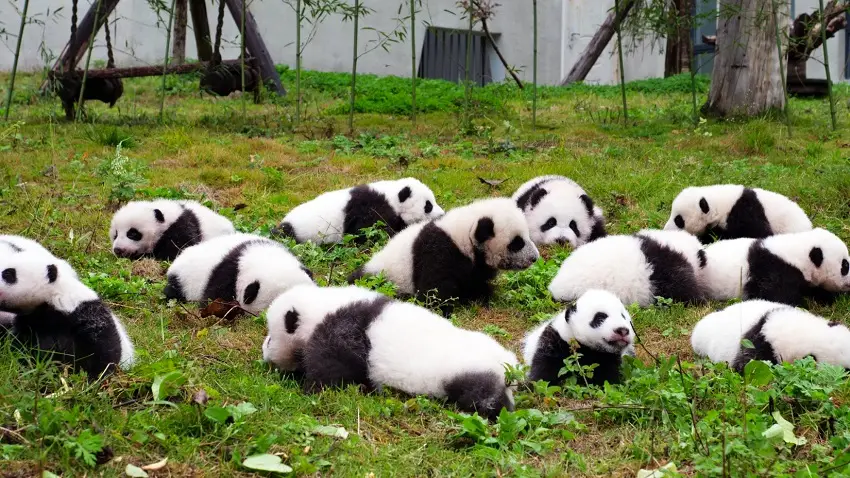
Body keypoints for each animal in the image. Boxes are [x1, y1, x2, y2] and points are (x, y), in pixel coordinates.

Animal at [0, 250, 135, 378]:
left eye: (7, 273)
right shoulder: (32, 321)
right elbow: (21, 345)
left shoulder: (86, 315)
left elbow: (104, 350)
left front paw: (95, 377)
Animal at [276, 178, 444, 244]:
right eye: (428, 205)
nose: (442, 214)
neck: (391, 198)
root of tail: (284, 221)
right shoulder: (368, 208)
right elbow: (367, 230)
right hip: (298, 232)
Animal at [296, 289, 518, 420]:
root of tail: (508, 367)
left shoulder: (343, 333)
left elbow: (329, 369)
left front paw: (311, 391)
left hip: (469, 372)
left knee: (483, 397)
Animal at [348, 198, 539, 311]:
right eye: (517, 243)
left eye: (526, 237)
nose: (534, 258)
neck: (463, 235)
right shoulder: (437, 252)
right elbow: (433, 290)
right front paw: (443, 308)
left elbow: (475, 280)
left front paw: (482, 295)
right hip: (384, 276)